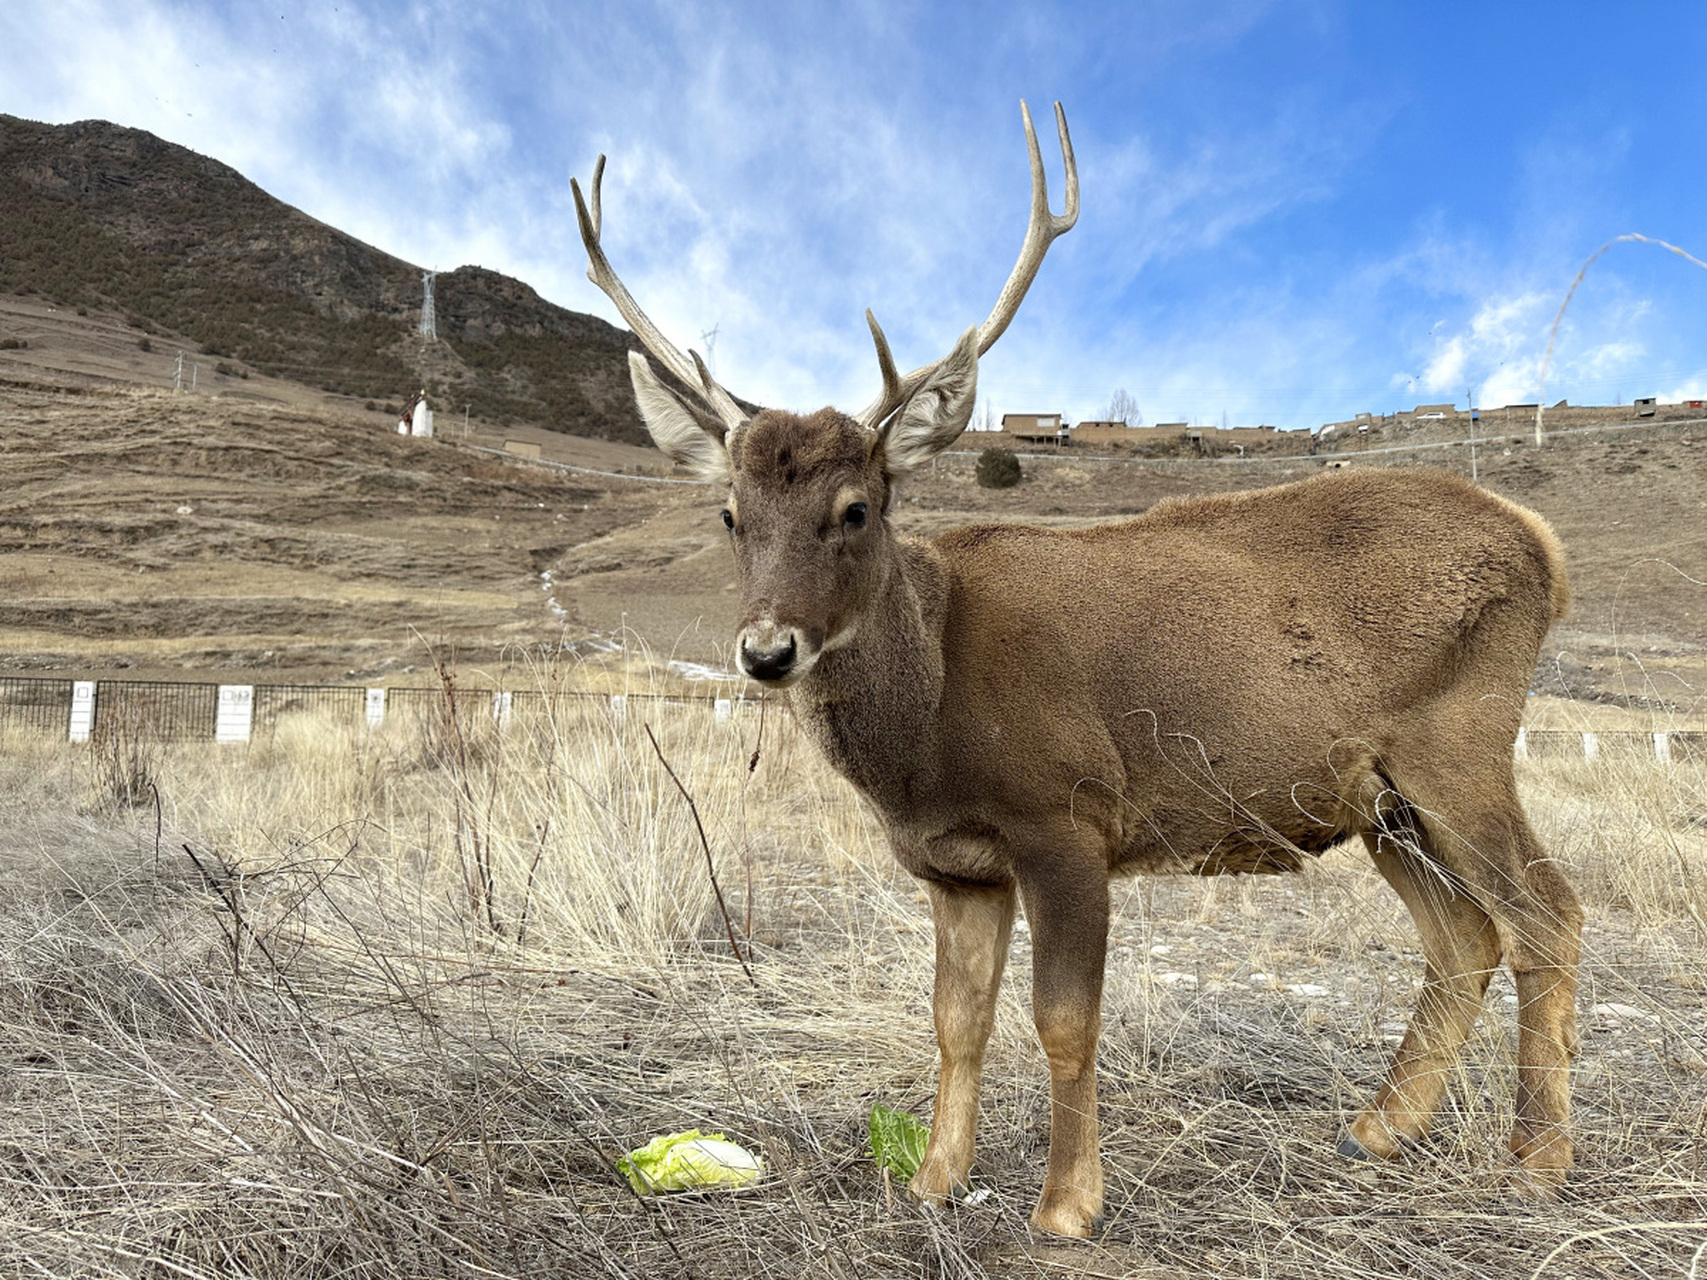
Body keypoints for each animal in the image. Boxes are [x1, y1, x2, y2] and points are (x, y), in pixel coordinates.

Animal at [576, 105, 1584, 1235]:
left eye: (857, 507)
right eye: (728, 513)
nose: (765, 650)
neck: (929, 737)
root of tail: (1545, 549)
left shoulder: (1067, 815)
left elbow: (1062, 1019)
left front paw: (1067, 1205)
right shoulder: (955, 864)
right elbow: (955, 1018)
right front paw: (933, 1178)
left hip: (1461, 740)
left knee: (1548, 913)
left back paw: (1538, 1161)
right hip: (1377, 799)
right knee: (1465, 936)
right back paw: (1379, 1127)